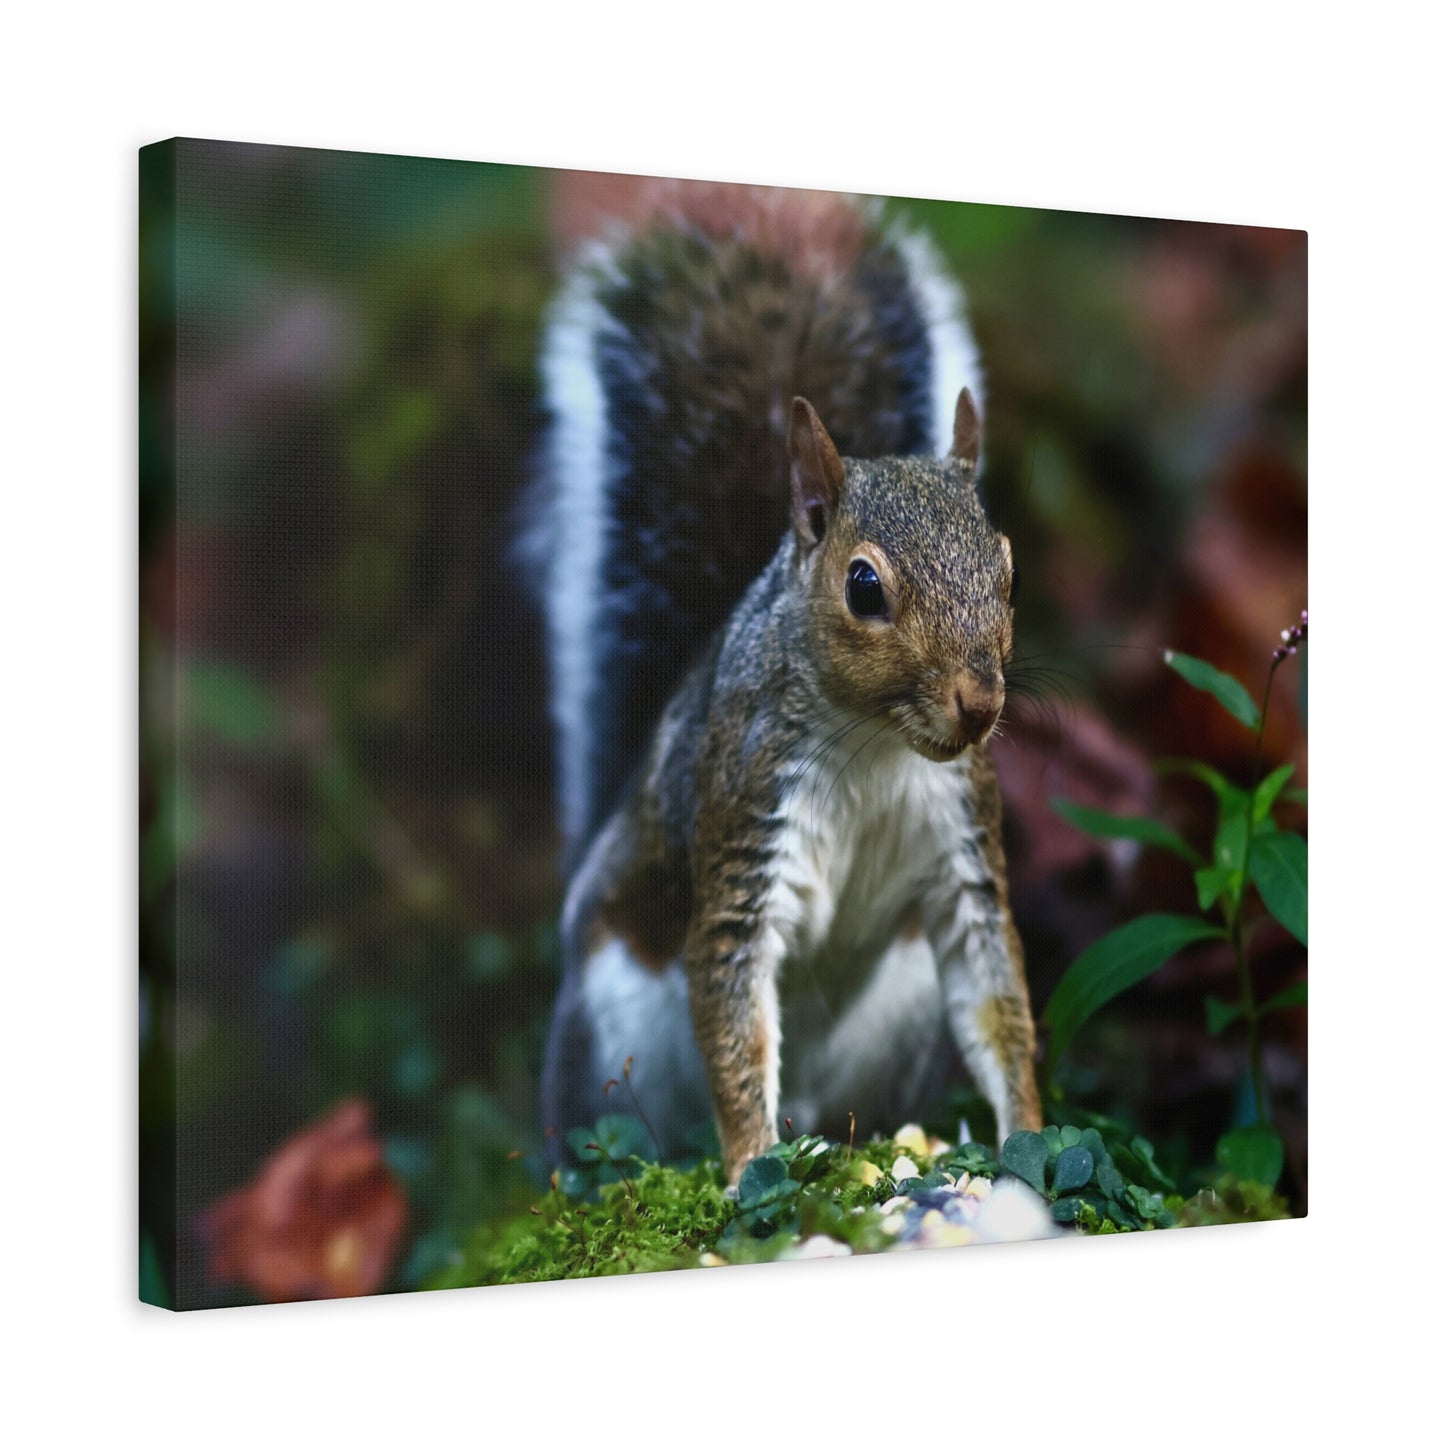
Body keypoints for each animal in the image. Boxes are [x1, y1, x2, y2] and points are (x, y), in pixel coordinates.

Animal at [533, 182, 1042, 1184]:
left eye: (1006, 567)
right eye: (863, 585)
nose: (979, 704)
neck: (877, 743)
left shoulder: (962, 851)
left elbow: (996, 1000)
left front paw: (1034, 1138)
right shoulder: (745, 819)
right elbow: (734, 1016)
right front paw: (748, 1167)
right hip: (610, 1021)